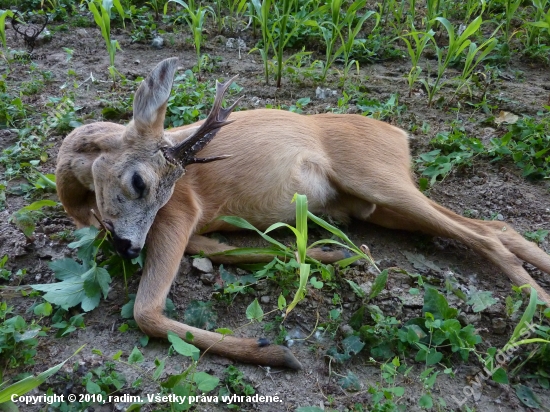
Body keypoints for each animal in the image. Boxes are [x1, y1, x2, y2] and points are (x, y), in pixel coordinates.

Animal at [56, 56, 550, 368]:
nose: (127, 248)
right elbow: (225, 250)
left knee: (484, 233)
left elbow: (147, 312)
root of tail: (401, 135)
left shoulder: (181, 212)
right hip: (379, 206)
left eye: (144, 184)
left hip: (380, 181)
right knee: (496, 225)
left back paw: (535, 304)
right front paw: (336, 255)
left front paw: (274, 350)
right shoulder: (194, 224)